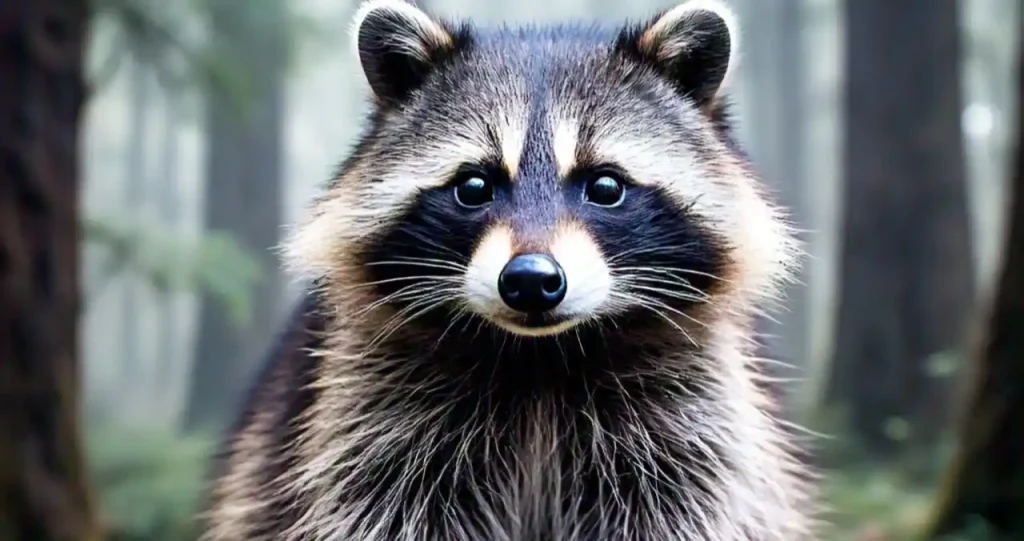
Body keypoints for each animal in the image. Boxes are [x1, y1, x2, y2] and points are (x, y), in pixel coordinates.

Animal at [200, 0, 818, 539]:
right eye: (474, 186)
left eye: (606, 186)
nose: (531, 281)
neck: (539, 359)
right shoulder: (371, 420)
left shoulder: (692, 425)